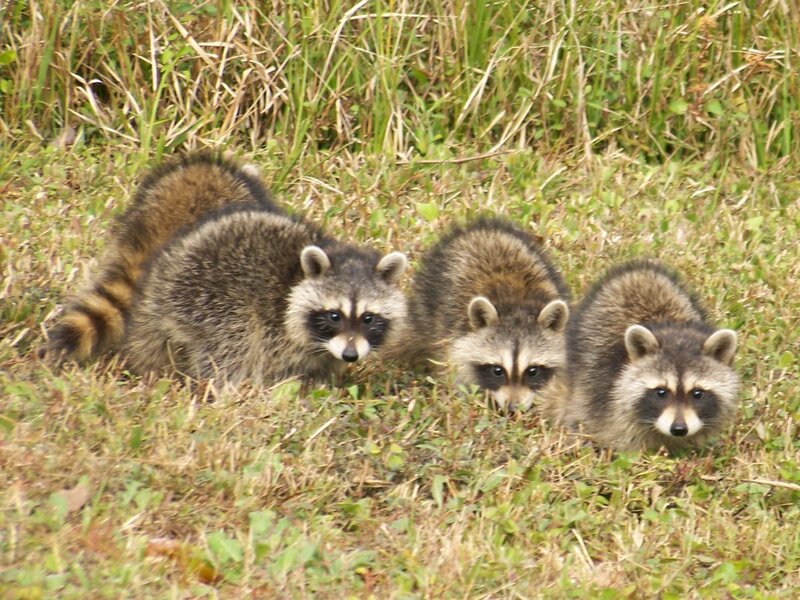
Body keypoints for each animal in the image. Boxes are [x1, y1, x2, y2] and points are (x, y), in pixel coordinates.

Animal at [125, 210, 408, 385]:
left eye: (368, 318)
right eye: (334, 316)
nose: (350, 355)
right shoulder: (275, 331)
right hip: (206, 299)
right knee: (234, 342)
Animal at [405, 218, 571, 413]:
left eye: (533, 371)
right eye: (497, 371)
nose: (512, 409)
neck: (516, 304)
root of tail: (481, 229)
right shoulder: (452, 338)